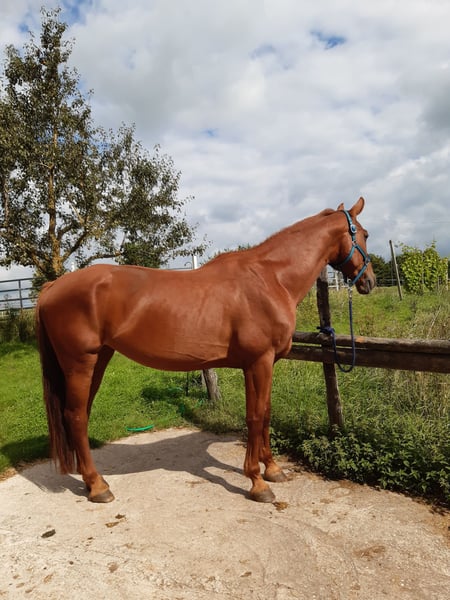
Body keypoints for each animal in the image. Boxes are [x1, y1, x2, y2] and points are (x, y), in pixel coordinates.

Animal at [36, 197, 376, 504]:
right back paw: (97, 487)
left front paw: (272, 469)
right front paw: (257, 483)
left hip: (99, 359)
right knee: (76, 416)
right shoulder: (259, 362)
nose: (369, 282)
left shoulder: (259, 365)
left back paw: (91, 479)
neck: (269, 279)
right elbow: (255, 417)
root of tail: (52, 287)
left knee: (79, 415)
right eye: (365, 233)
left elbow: (264, 413)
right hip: (80, 363)